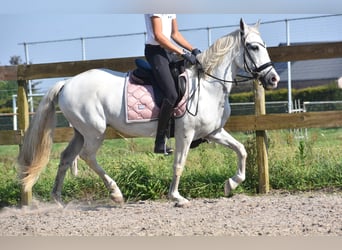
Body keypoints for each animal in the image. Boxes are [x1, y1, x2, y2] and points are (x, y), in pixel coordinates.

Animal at [18, 19, 280, 207]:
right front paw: (177, 197)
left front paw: (230, 185)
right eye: (253, 47)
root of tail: (67, 82)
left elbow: (242, 150)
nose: (273, 79)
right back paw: (116, 194)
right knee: (87, 157)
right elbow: (179, 164)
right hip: (95, 131)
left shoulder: (213, 132)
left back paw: (58, 199)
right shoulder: (185, 134)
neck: (207, 85)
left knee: (66, 157)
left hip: (81, 132)